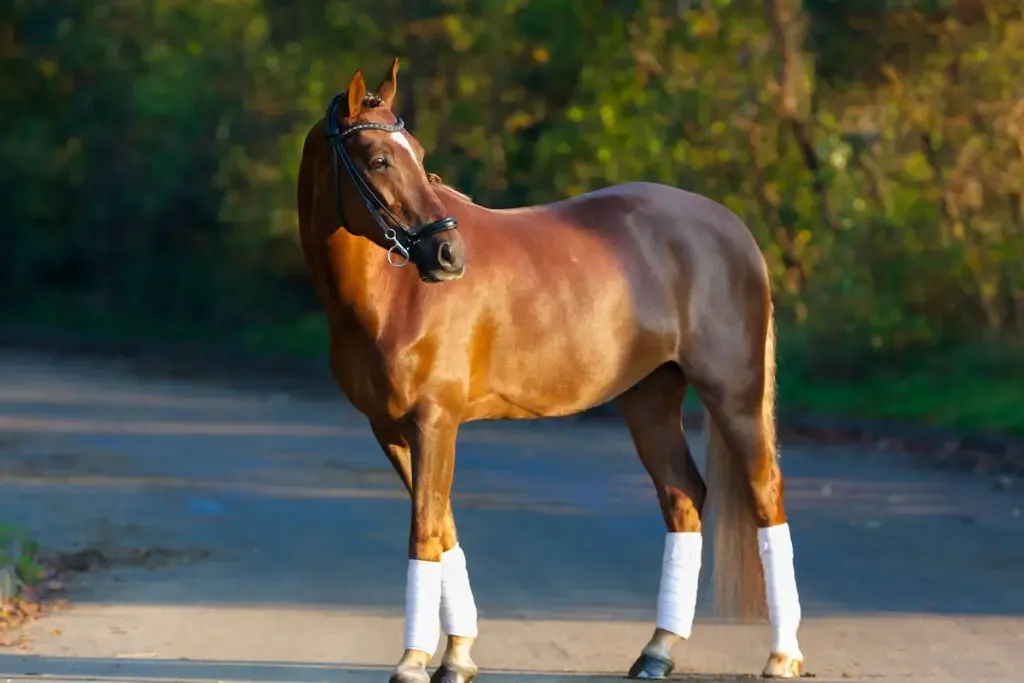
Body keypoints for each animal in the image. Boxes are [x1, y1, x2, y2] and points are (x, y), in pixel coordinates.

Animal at [296, 58, 806, 683]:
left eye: (415, 151)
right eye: (378, 160)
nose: (449, 255)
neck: (394, 297)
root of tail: (732, 229)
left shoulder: (434, 422)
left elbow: (424, 532)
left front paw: (414, 661)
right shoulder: (391, 430)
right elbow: (443, 529)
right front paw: (457, 656)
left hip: (734, 395)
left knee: (766, 498)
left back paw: (782, 656)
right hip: (650, 398)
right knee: (683, 497)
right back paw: (657, 651)